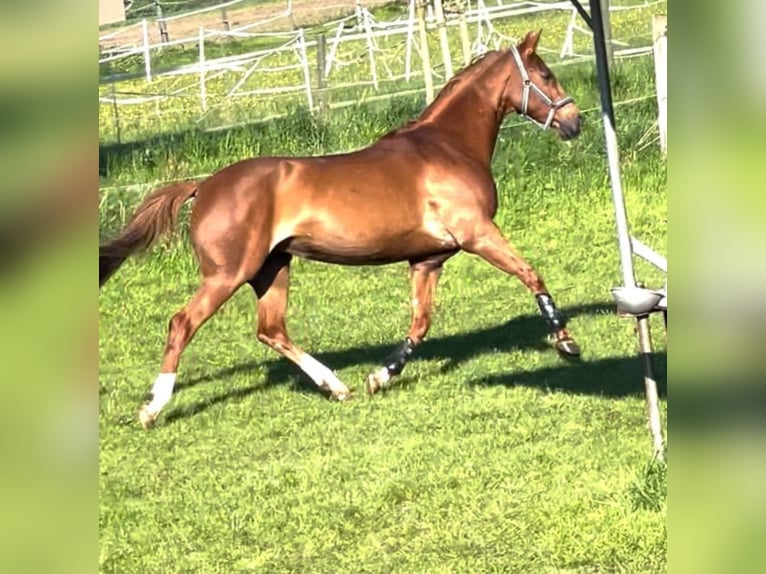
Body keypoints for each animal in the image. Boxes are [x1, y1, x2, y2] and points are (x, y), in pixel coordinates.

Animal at [100, 30, 584, 428]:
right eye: (545, 74)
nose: (574, 121)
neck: (448, 146)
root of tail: (204, 186)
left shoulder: (427, 259)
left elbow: (420, 323)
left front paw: (380, 376)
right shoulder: (478, 233)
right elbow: (530, 274)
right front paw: (566, 342)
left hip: (272, 269)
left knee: (271, 330)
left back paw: (336, 386)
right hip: (228, 274)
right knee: (182, 323)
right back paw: (153, 408)